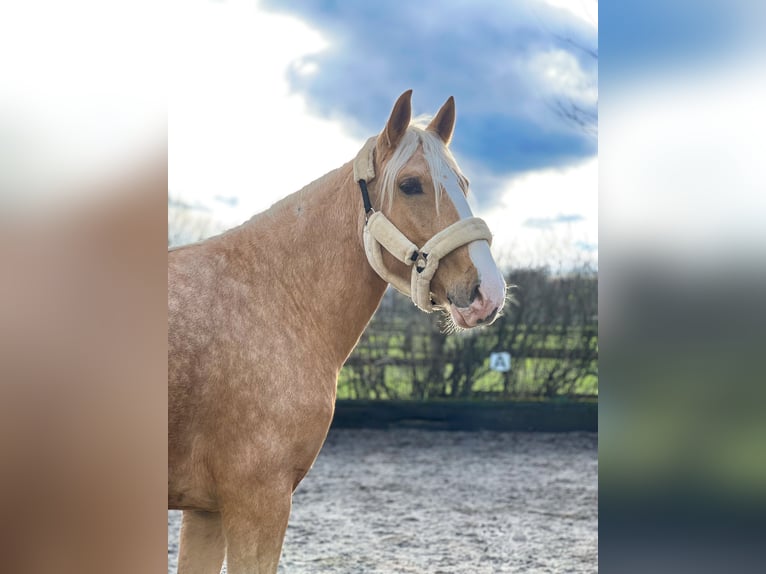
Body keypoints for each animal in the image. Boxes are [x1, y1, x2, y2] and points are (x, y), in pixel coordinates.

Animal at [169, 91, 508, 574]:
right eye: (410, 185)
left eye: (462, 183)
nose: (488, 292)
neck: (278, 299)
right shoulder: (257, 502)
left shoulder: (205, 509)